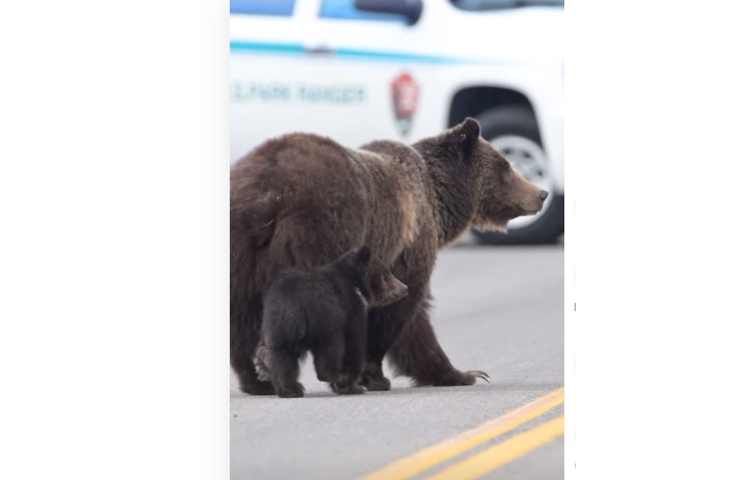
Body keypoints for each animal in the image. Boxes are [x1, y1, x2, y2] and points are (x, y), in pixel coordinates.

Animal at [231, 117, 548, 394]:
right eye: (506, 166)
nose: (541, 194)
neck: (438, 201)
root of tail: (266, 193)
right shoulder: (407, 249)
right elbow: (402, 312)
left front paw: (458, 373)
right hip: (318, 231)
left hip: (241, 254)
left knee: (241, 318)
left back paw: (256, 379)